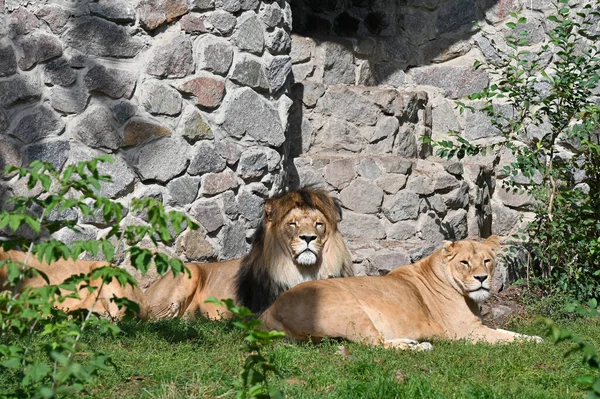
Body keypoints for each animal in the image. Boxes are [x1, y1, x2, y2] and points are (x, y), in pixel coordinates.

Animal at [260, 238, 540, 350]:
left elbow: (509, 332)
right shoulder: (467, 332)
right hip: (349, 307)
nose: (482, 278)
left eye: (487, 261)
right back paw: (420, 347)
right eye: (465, 263)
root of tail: (270, 309)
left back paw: (411, 342)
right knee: (375, 345)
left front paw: (536, 337)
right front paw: (535, 342)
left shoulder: (480, 326)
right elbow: (506, 339)